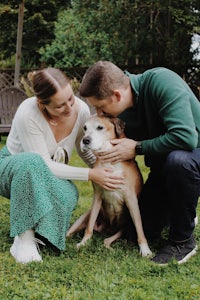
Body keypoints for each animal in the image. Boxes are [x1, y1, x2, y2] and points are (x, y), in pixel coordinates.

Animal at [67, 113, 152, 256]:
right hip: (83, 218)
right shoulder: (97, 197)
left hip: (124, 227)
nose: (85, 140)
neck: (109, 162)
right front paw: (84, 243)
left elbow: (140, 228)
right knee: (70, 233)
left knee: (106, 241)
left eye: (100, 127)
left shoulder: (131, 200)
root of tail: (107, 230)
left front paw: (145, 250)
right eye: (85, 128)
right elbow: (89, 227)